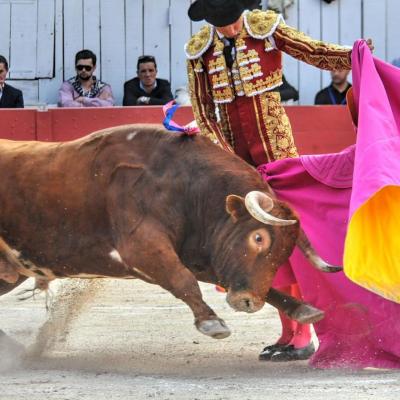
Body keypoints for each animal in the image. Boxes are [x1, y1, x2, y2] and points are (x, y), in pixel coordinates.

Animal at [0, 125, 338, 340]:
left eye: (285, 253)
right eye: (258, 238)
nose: (247, 302)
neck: (184, 186)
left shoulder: (200, 255)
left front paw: (304, 309)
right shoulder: (141, 248)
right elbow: (182, 280)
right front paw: (212, 322)